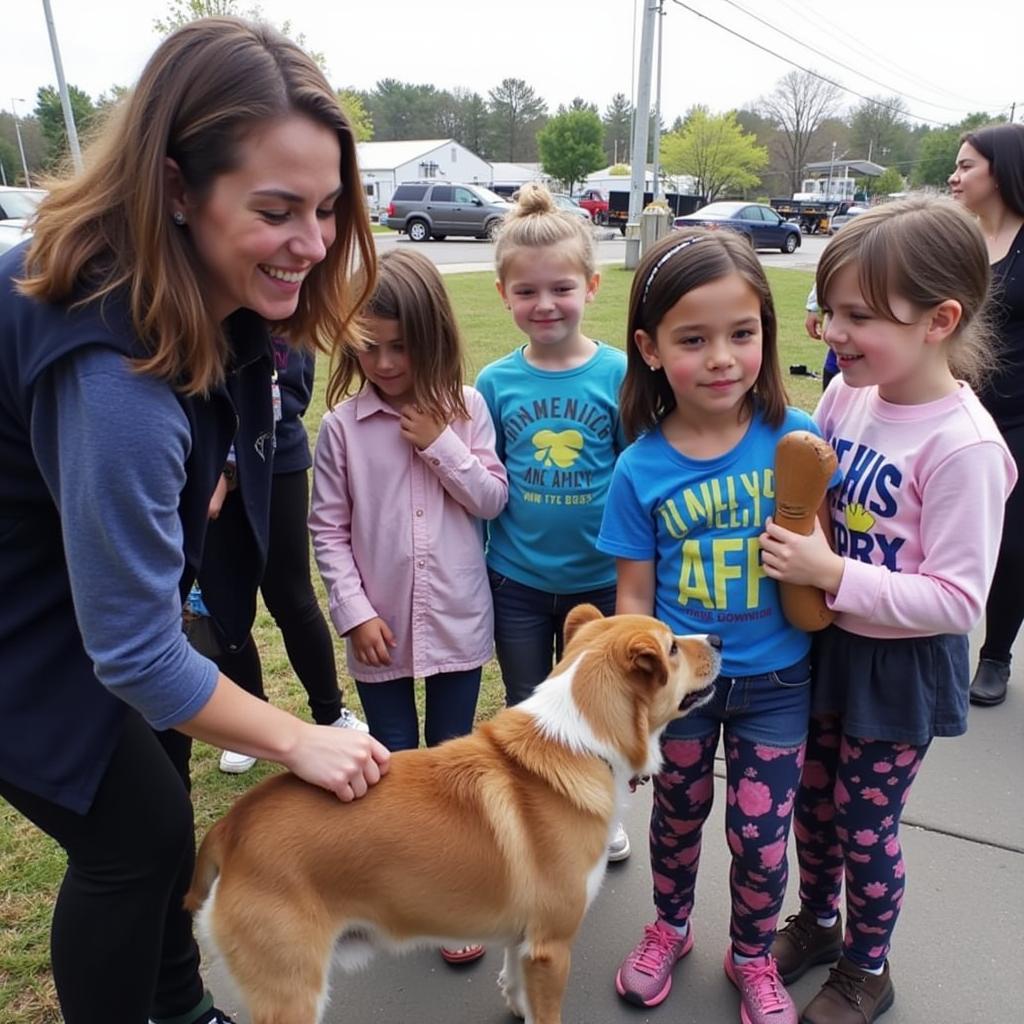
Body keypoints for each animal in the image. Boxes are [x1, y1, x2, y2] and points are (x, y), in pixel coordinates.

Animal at [186, 606, 720, 1024]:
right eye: (673, 647)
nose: (715, 638)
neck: (579, 742)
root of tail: (232, 828)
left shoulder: (523, 940)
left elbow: (514, 982)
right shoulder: (551, 948)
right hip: (292, 994)